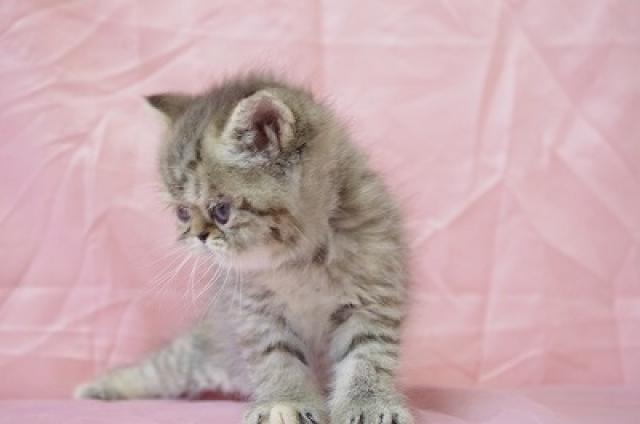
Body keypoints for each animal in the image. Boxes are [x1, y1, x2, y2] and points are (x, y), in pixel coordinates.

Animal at [75, 72, 413, 424]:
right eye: (183, 213)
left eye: (221, 210)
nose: (196, 236)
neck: (300, 264)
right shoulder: (256, 313)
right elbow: (277, 358)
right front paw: (286, 402)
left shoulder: (372, 296)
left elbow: (367, 357)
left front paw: (369, 405)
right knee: (163, 366)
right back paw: (98, 387)